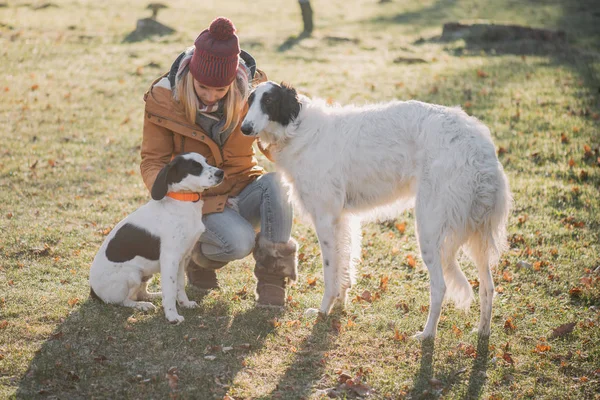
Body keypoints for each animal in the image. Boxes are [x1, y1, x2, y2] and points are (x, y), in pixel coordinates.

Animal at [91, 152, 225, 324]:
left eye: (207, 161)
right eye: (195, 167)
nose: (221, 173)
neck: (183, 201)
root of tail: (93, 291)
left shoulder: (182, 259)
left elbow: (179, 285)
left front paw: (184, 303)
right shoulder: (170, 259)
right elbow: (170, 290)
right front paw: (172, 316)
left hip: (145, 275)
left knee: (142, 293)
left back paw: (155, 296)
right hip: (133, 274)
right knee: (124, 300)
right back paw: (143, 305)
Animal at [240, 83, 510, 340]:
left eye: (269, 101)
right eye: (250, 100)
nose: (244, 128)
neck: (299, 128)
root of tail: (481, 148)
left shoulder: (325, 219)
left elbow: (330, 272)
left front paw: (322, 310)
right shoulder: (344, 219)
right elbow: (345, 267)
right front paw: (339, 305)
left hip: (429, 229)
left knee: (441, 287)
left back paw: (427, 335)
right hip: (477, 236)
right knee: (488, 287)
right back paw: (482, 332)